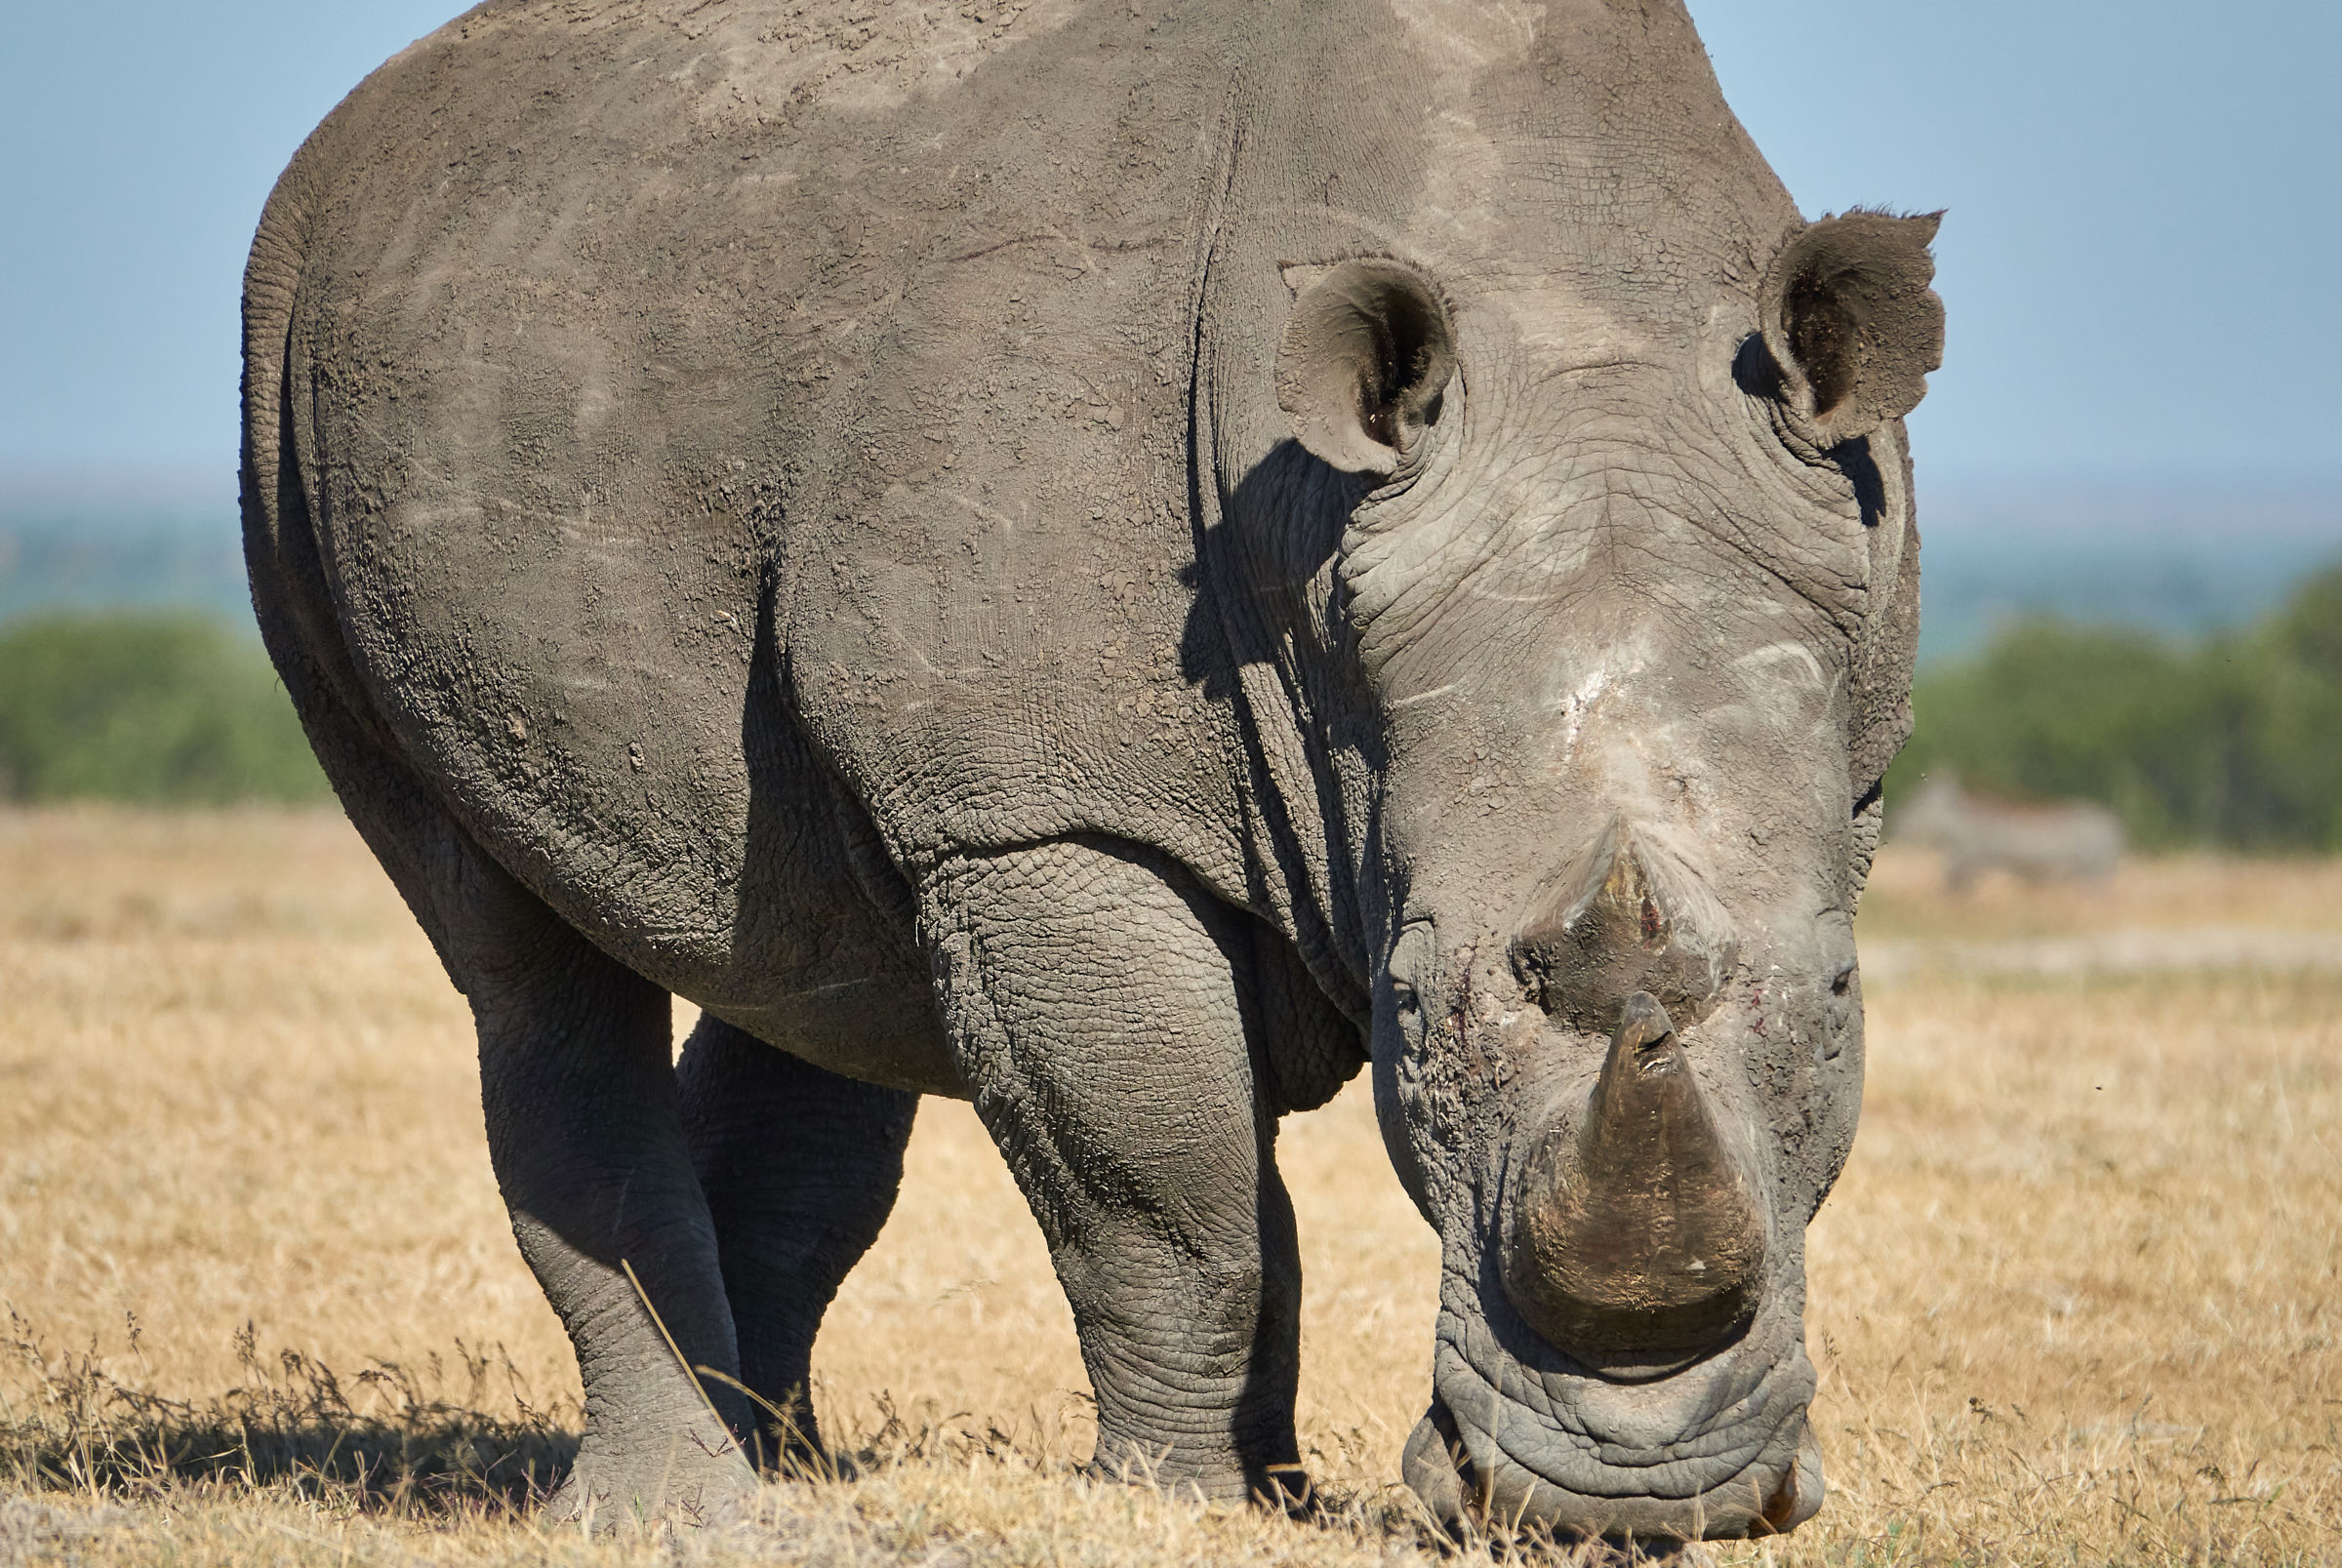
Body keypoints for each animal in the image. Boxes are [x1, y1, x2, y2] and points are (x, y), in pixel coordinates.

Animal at [239, 0, 1941, 1542]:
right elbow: (1172, 1194)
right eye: (1407, 1007)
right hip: (286, 410)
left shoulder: (1843, 767)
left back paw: (793, 1469)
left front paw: (1269, 1490)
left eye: (1843, 992)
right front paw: (1184, 1504)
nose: (1632, 1500)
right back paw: (690, 1512)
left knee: (796, 954)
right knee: (520, 956)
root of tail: (361, 125)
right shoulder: (1037, 815)